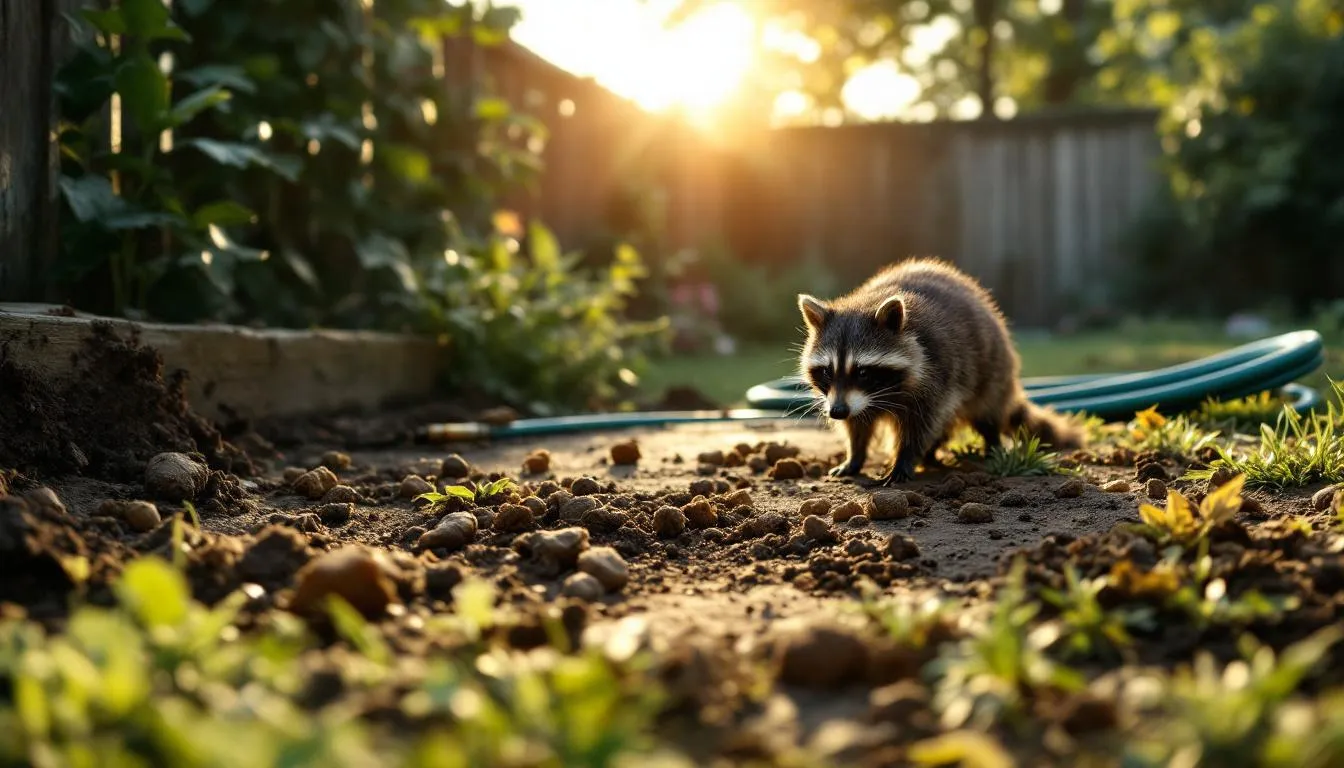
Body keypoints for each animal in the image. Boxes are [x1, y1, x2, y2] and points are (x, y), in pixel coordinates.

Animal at [797, 257, 1083, 485]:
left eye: (863, 372)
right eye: (827, 372)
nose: (837, 412)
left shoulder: (937, 375)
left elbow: (922, 424)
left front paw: (904, 458)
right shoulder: (849, 399)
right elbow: (857, 425)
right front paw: (855, 456)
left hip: (993, 368)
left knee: (985, 410)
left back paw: (990, 443)